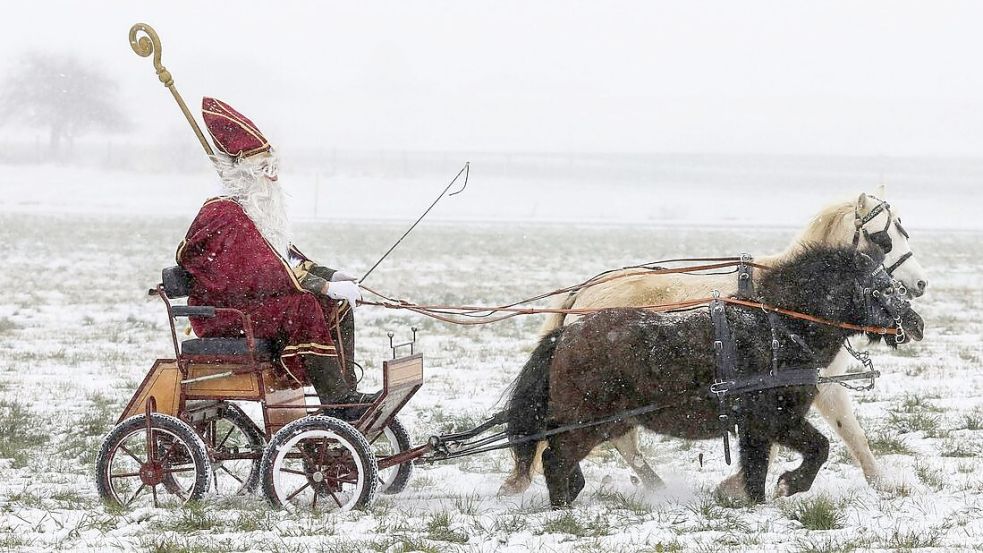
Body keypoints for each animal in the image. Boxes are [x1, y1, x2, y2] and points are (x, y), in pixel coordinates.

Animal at [504, 185, 928, 496]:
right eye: (883, 238)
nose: (920, 284)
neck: (781, 310)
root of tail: (586, 292)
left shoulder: (819, 388)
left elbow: (850, 434)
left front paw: (881, 482)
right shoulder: (806, 390)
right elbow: (828, 434)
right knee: (608, 442)